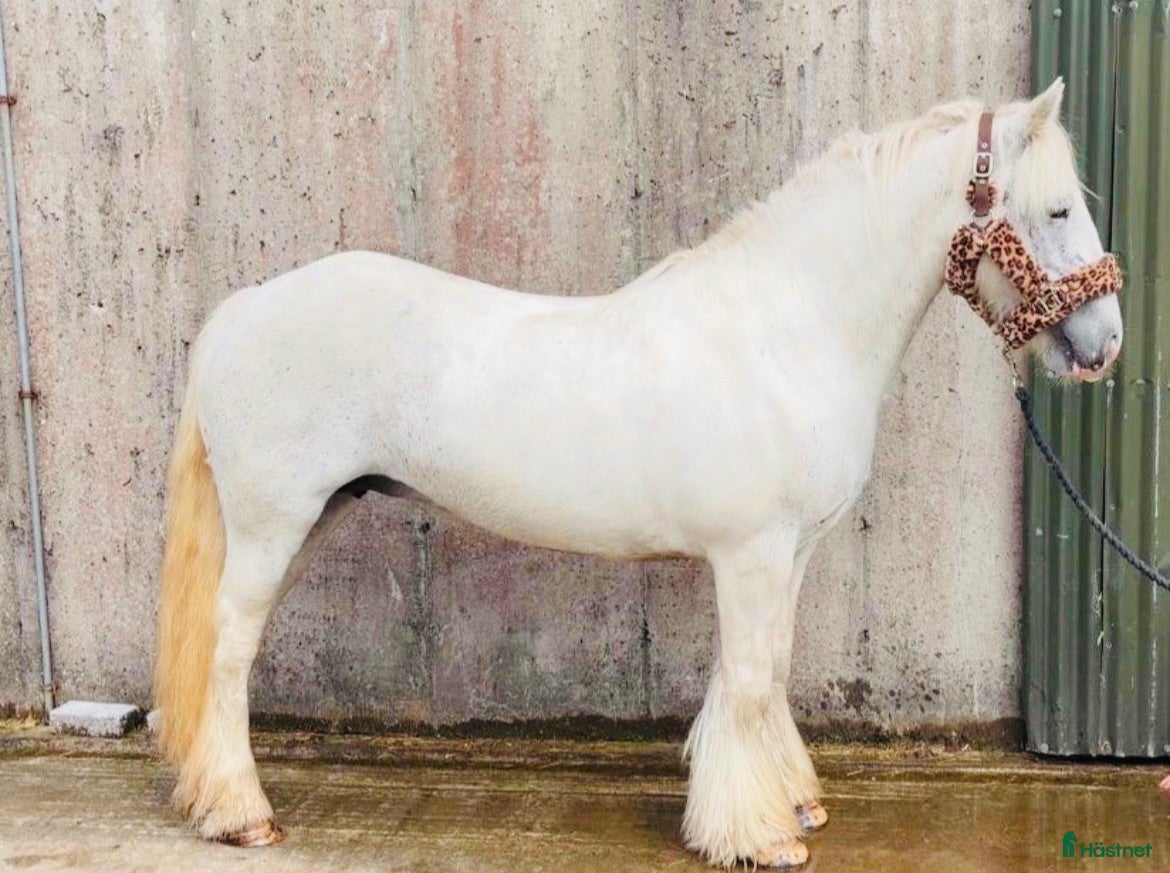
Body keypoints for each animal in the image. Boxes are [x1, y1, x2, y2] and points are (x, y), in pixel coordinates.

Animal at [154, 79, 1123, 869]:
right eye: (1058, 210)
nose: (1106, 344)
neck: (789, 325)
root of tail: (245, 308)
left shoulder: (790, 554)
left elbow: (769, 670)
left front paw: (791, 803)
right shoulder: (750, 553)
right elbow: (751, 679)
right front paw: (758, 834)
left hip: (306, 518)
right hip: (275, 524)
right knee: (229, 650)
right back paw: (241, 816)